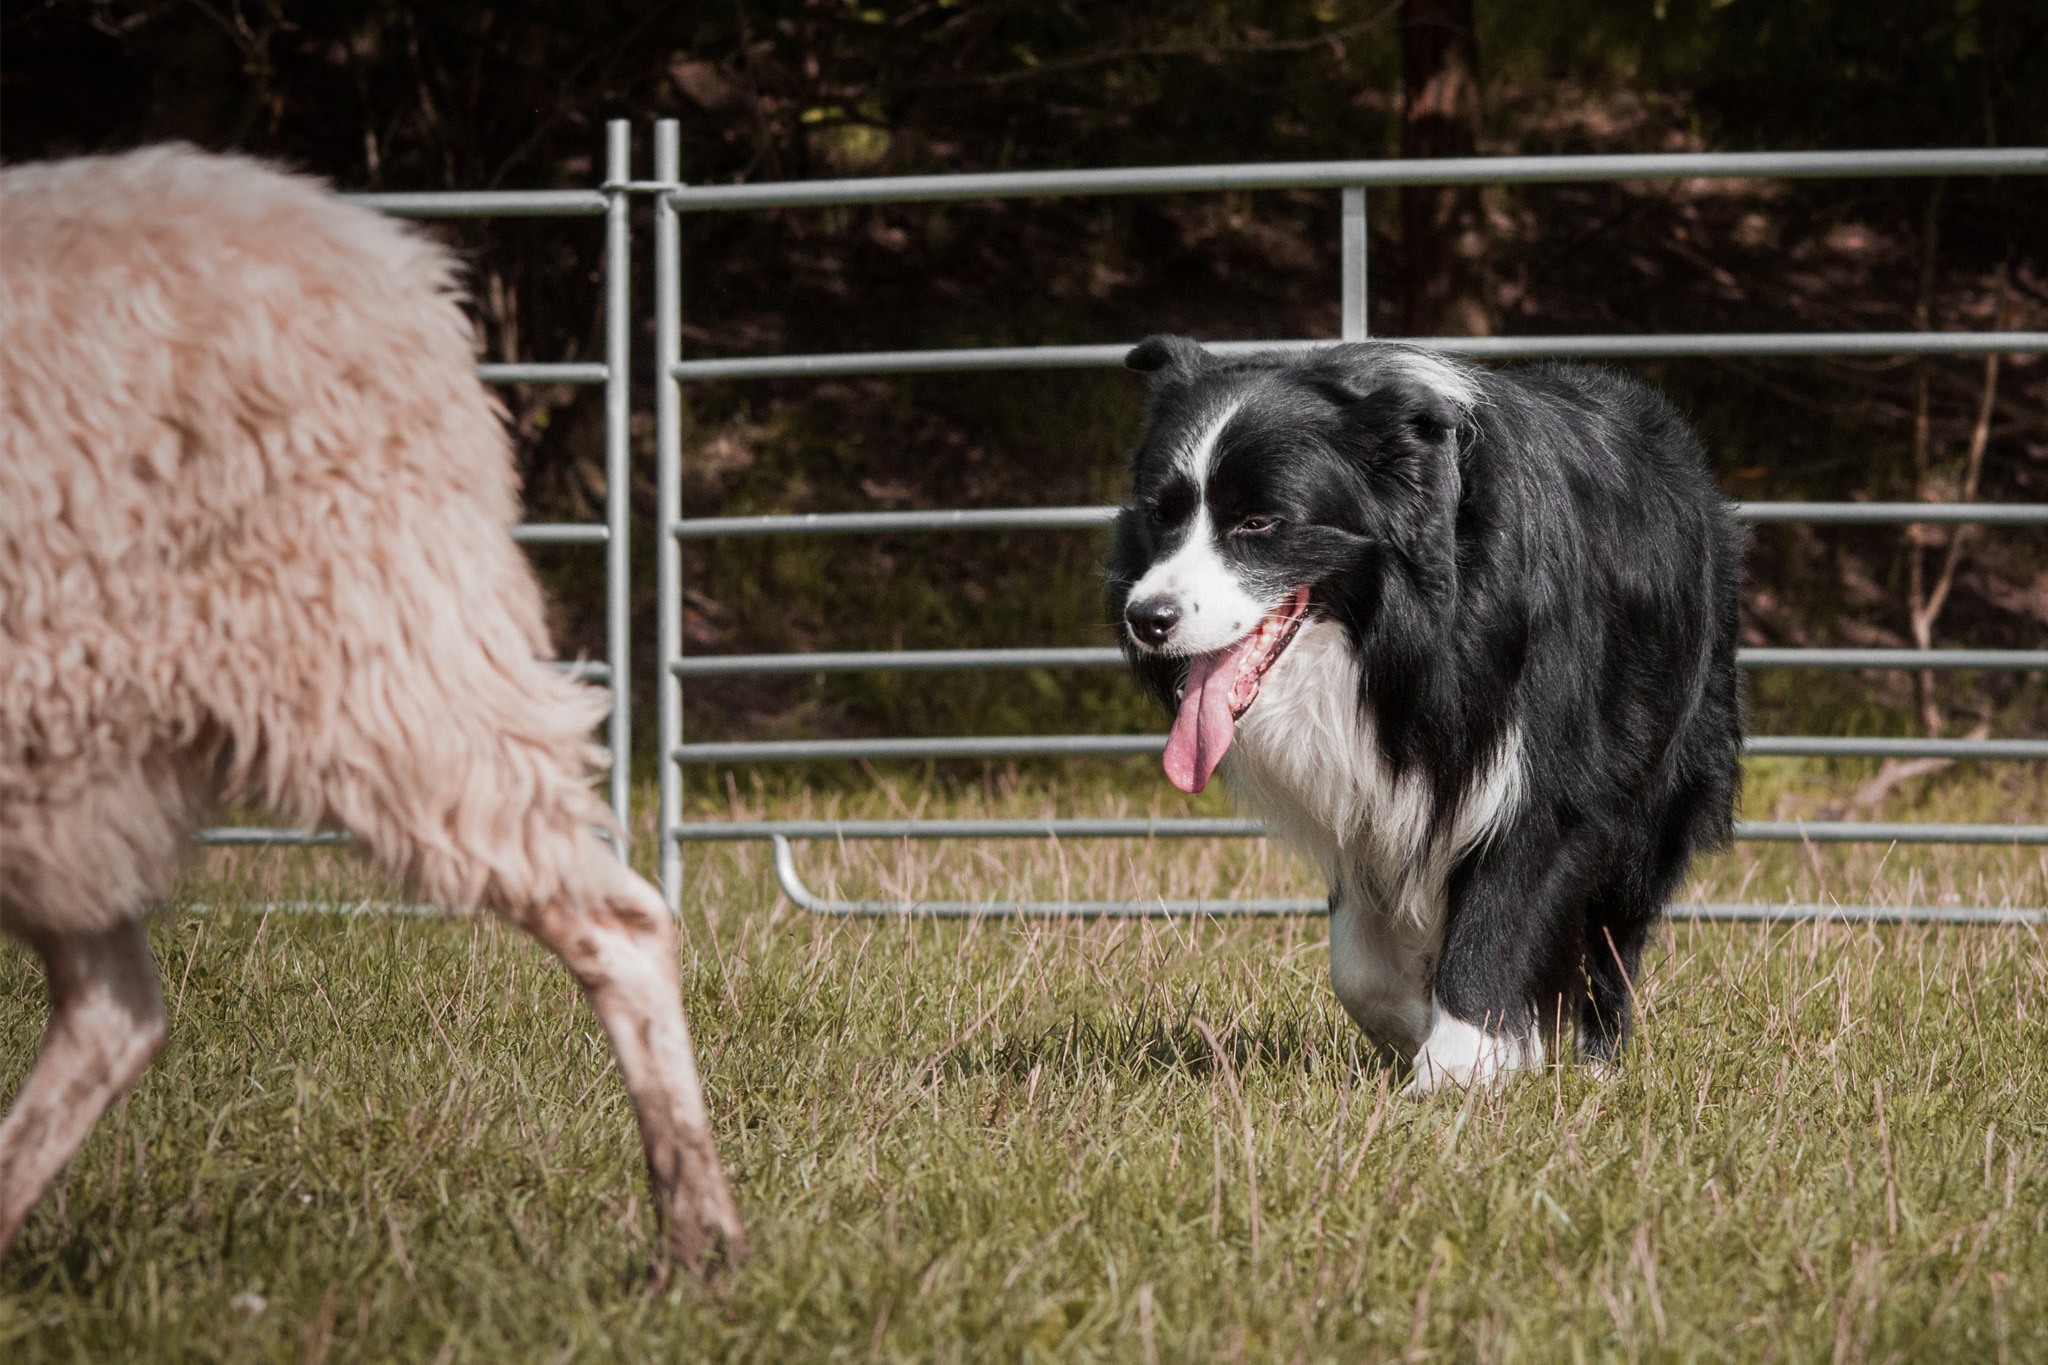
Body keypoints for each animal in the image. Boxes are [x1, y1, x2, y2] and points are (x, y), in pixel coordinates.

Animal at [0, 144, 749, 1277]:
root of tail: (389, 263)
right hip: (76, 750)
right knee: (111, 1009)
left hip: (376, 661)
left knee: (615, 918)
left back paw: (695, 1238)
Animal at [1105, 335, 1744, 1096]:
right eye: (1161, 514)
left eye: (1259, 523)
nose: (1147, 618)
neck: (1396, 628)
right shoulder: (1364, 787)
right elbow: (1361, 966)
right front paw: (1436, 1035)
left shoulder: (1546, 755)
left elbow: (1504, 905)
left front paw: (1454, 1075)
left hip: (1668, 752)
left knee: (1619, 913)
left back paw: (1595, 1056)